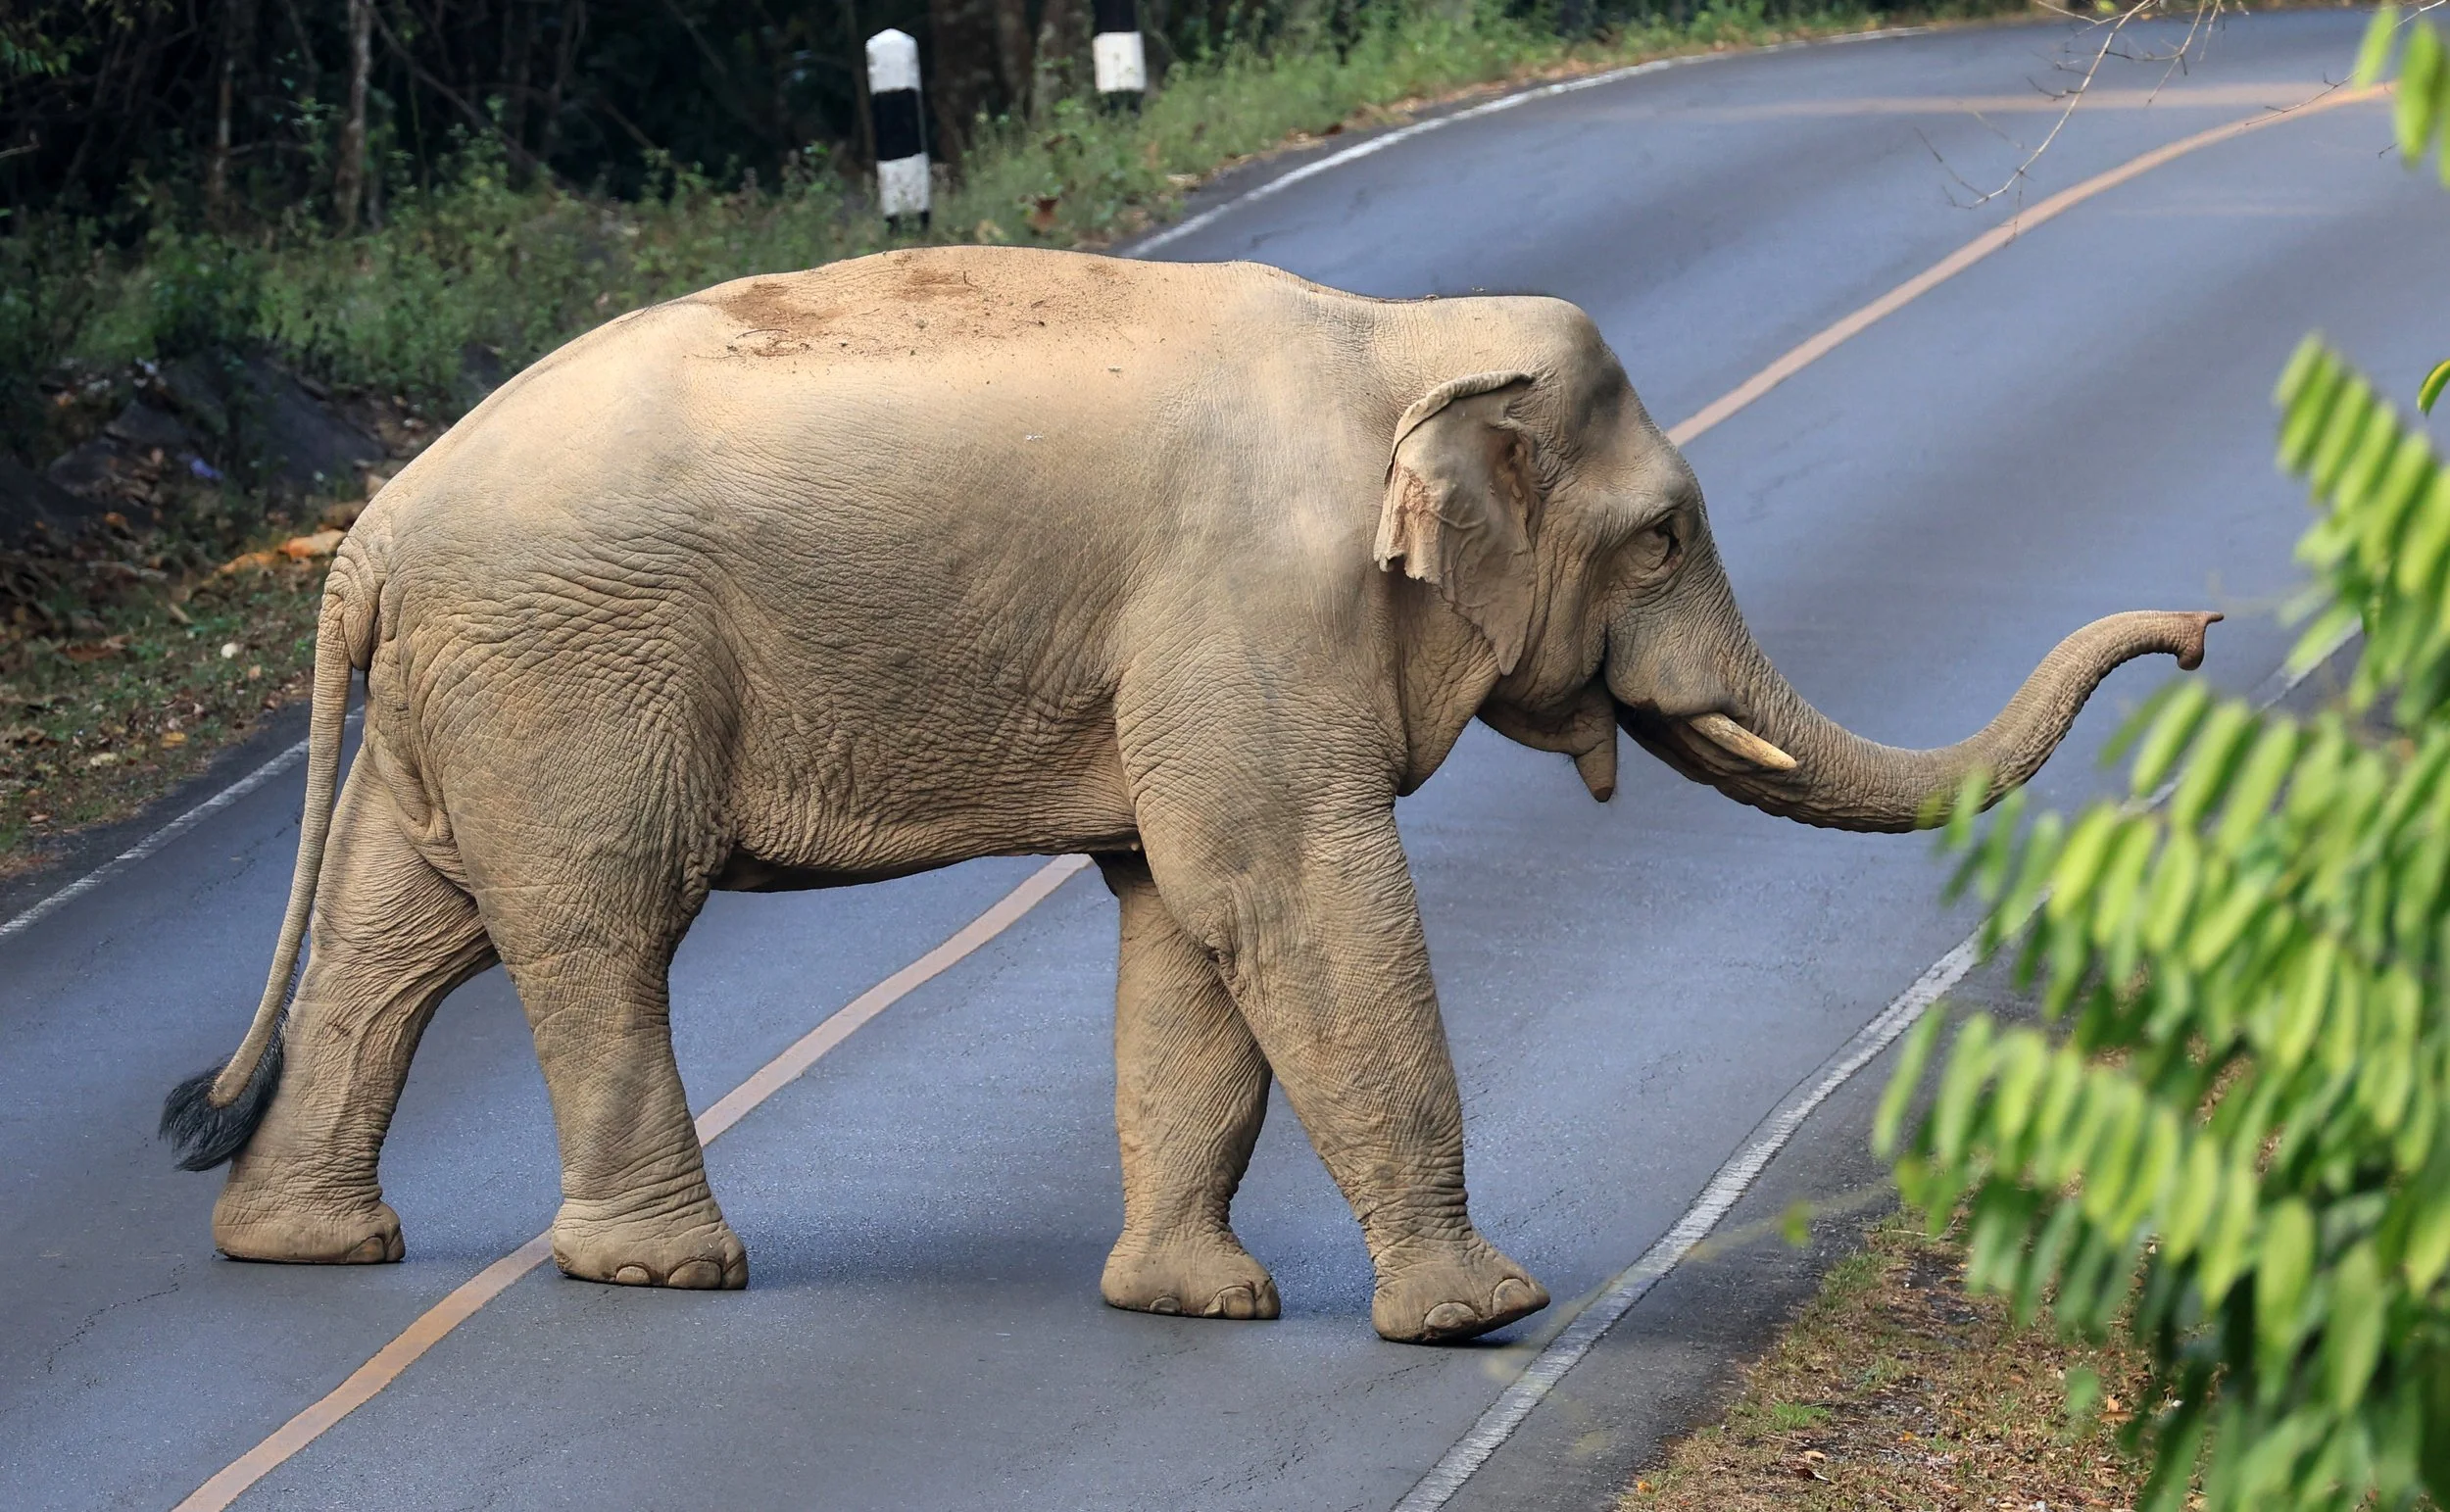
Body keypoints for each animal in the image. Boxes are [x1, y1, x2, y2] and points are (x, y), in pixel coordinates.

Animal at [163, 244, 2215, 1344]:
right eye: (1663, 537)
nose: (2199, 630)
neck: (1399, 337)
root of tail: (369, 535)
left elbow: (1182, 922)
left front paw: (1190, 1300)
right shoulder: (1250, 610)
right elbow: (1285, 894)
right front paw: (1483, 1315)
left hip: (470, 696)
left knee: (403, 936)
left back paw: (303, 1239)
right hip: (576, 673)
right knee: (594, 926)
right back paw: (670, 1266)